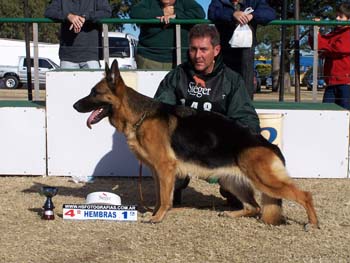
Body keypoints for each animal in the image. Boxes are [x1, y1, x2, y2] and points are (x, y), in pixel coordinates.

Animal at [74, 60, 320, 229]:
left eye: (94, 93)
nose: (75, 105)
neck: (140, 116)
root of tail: (270, 145)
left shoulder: (165, 168)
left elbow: (165, 198)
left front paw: (158, 217)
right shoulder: (156, 171)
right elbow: (160, 196)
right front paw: (154, 213)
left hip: (265, 181)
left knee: (304, 195)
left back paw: (313, 223)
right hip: (231, 181)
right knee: (255, 207)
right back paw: (231, 214)